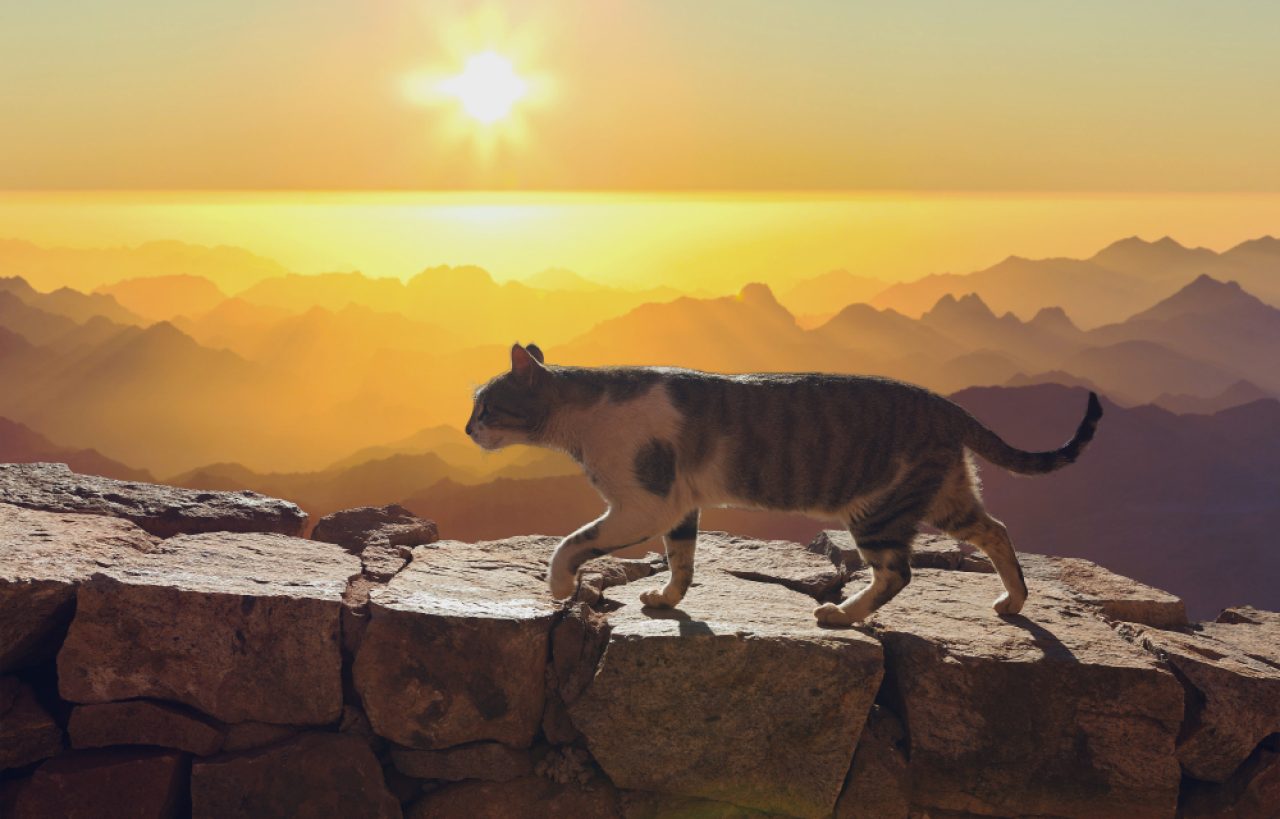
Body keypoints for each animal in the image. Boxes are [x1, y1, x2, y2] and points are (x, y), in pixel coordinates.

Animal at [468, 342, 1100, 624]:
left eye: (485, 404)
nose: (468, 426)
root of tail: (943, 404)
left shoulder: (642, 504)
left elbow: (570, 544)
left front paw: (558, 587)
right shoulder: (678, 507)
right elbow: (682, 561)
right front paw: (667, 600)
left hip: (878, 508)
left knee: (898, 572)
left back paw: (843, 614)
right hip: (943, 495)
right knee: (996, 530)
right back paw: (1013, 600)